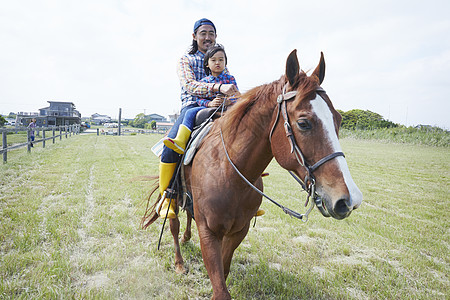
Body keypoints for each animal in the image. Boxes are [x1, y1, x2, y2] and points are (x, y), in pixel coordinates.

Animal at [143, 50, 362, 298]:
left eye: (338, 119)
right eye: (304, 123)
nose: (348, 199)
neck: (228, 172)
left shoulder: (239, 230)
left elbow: (223, 272)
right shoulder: (209, 231)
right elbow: (220, 288)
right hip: (172, 194)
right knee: (173, 224)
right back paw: (179, 263)